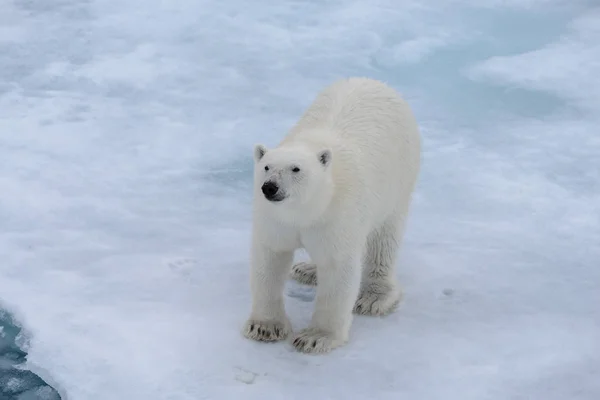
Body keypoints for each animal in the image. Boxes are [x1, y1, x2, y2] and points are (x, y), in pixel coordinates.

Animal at [241, 76, 420, 354]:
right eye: (266, 167)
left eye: (296, 169)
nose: (270, 187)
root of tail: (373, 81)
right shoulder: (275, 219)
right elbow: (270, 259)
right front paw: (264, 327)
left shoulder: (338, 214)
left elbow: (338, 268)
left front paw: (315, 337)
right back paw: (307, 269)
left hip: (399, 177)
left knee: (384, 238)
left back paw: (373, 296)